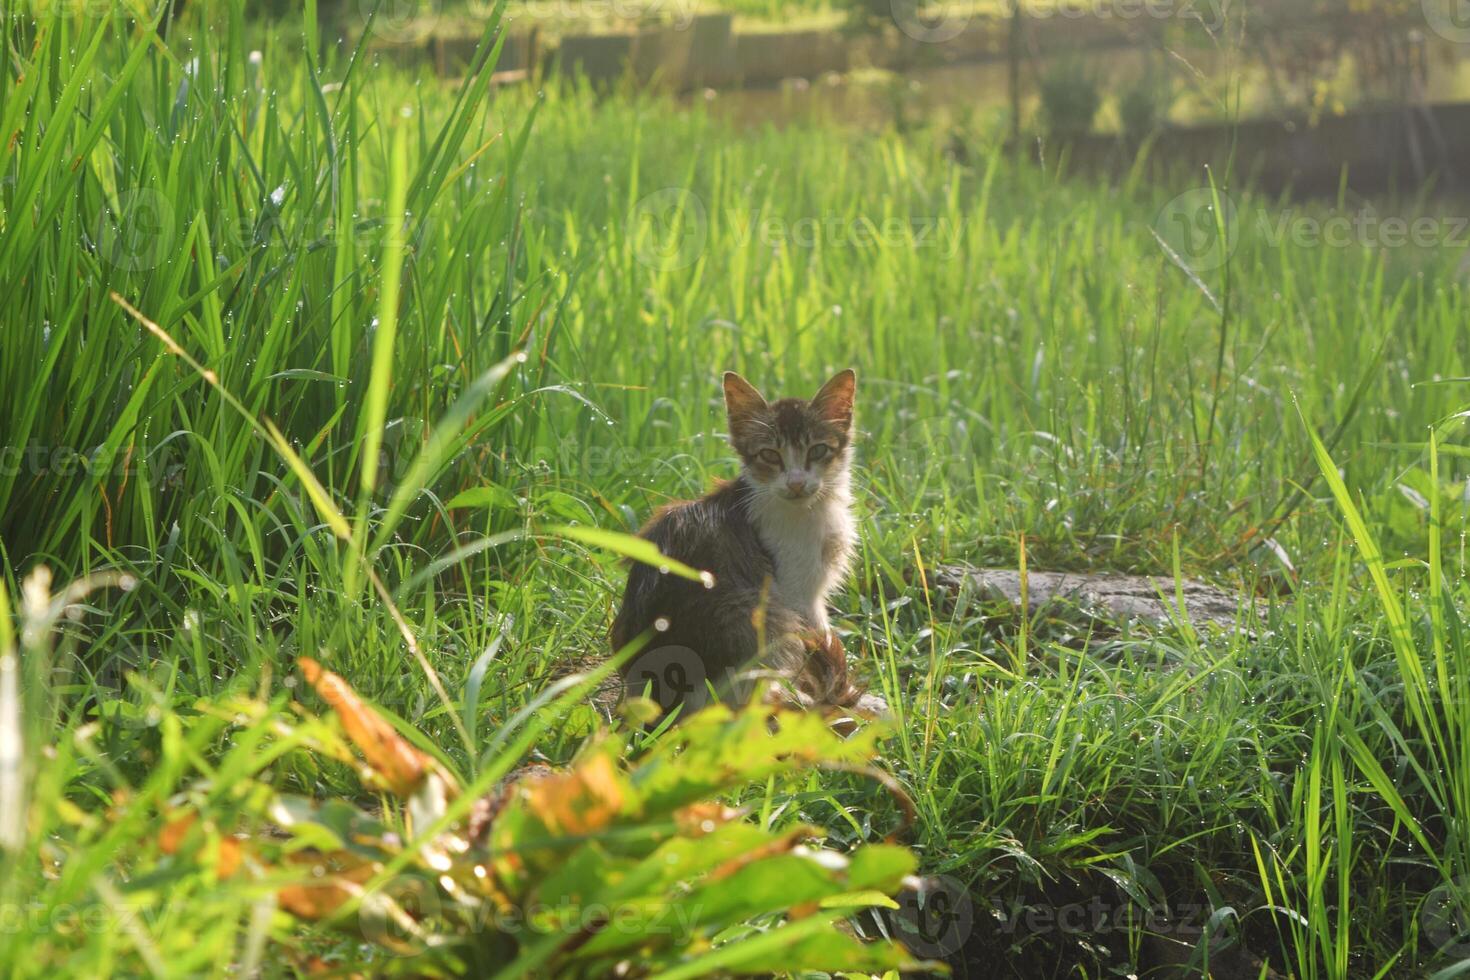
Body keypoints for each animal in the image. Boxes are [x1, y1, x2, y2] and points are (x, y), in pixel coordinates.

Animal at [611, 370, 882, 719]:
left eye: (817, 451)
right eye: (769, 455)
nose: (796, 483)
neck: (810, 510)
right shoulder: (798, 594)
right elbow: (820, 641)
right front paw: (854, 701)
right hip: (754, 610)